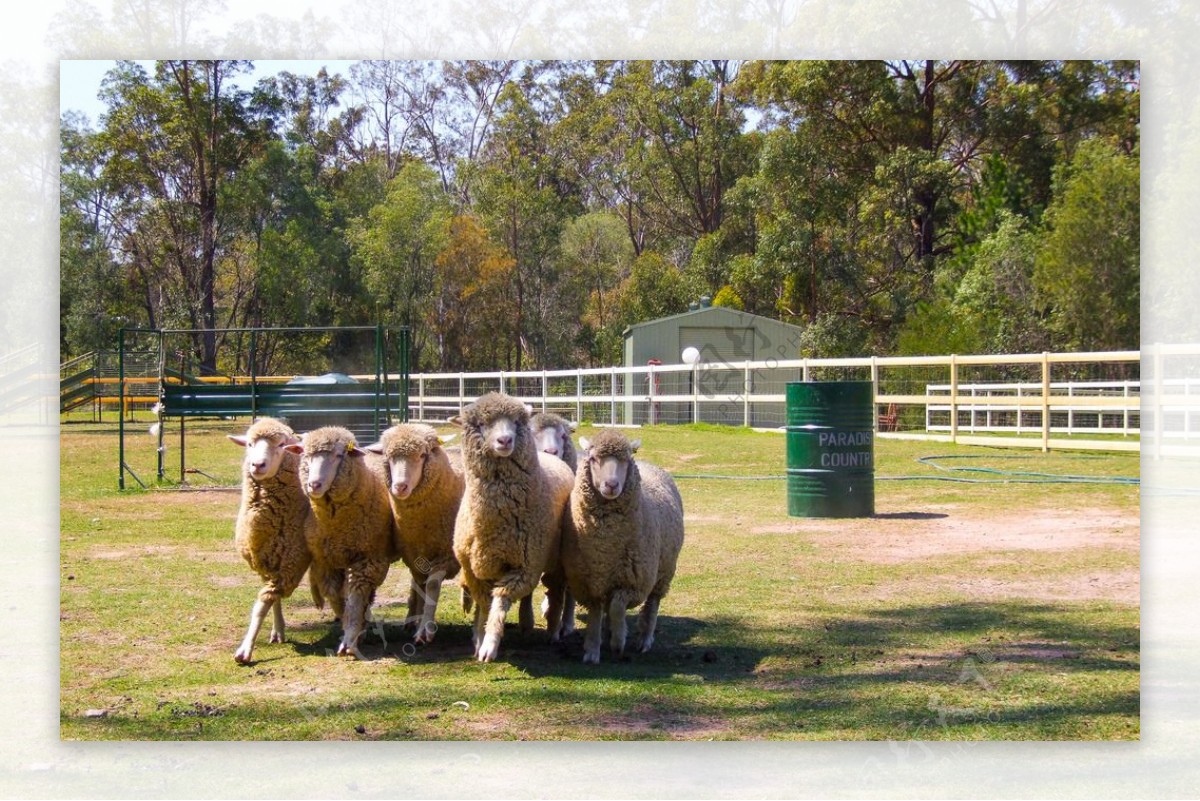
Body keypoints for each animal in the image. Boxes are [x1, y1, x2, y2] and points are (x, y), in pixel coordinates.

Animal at [225, 419, 309, 661]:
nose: (257, 465)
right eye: (250, 444)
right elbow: (272, 599)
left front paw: (245, 649)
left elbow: (262, 604)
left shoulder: (291, 564)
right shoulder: (266, 563)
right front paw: (278, 630)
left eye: (281, 444)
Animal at [283, 424, 396, 657]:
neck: (336, 524)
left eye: (338, 455)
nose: (314, 484)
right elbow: (337, 598)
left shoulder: (367, 560)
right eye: (306, 455)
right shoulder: (327, 562)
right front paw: (350, 627)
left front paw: (351, 639)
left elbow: (354, 600)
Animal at [362, 424, 460, 642]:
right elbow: (421, 586)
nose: (400, 487)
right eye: (388, 457)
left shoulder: (446, 555)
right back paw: (410, 619)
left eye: (423, 455)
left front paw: (426, 628)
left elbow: (431, 586)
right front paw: (419, 622)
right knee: (416, 584)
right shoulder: (414, 554)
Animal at [453, 390, 576, 661]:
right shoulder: (475, 569)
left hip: (553, 557)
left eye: (517, 422)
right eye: (482, 424)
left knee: (558, 592)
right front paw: (479, 636)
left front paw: (489, 644)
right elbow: (484, 605)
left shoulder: (523, 567)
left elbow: (499, 602)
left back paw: (553, 628)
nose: (505, 440)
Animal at [561, 429, 686, 666]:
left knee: (653, 603)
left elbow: (618, 608)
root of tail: (649, 464)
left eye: (626, 460)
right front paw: (592, 649)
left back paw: (644, 639)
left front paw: (618, 643)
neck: (606, 546)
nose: (611, 485)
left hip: (663, 570)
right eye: (593, 458)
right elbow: (596, 614)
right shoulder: (590, 581)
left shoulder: (632, 581)